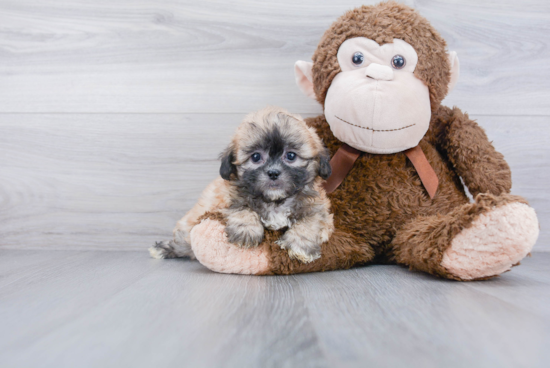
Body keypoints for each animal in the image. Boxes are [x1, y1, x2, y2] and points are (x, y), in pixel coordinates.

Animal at [149, 106, 334, 264]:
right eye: (256, 157)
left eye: (291, 155)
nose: (273, 173)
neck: (275, 201)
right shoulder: (225, 201)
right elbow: (243, 209)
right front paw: (246, 231)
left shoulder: (318, 209)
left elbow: (310, 222)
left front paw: (299, 246)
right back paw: (164, 249)